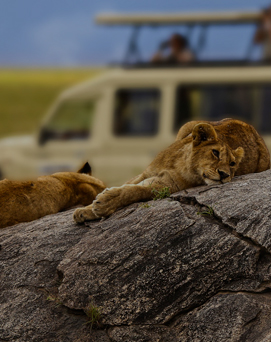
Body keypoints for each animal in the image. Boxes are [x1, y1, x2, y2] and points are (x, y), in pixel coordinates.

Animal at [74, 119, 270, 223]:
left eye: (232, 164)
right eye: (215, 153)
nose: (224, 175)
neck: (181, 163)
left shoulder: (166, 186)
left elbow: (134, 191)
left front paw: (103, 204)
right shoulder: (146, 173)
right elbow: (127, 185)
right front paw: (85, 210)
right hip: (189, 125)